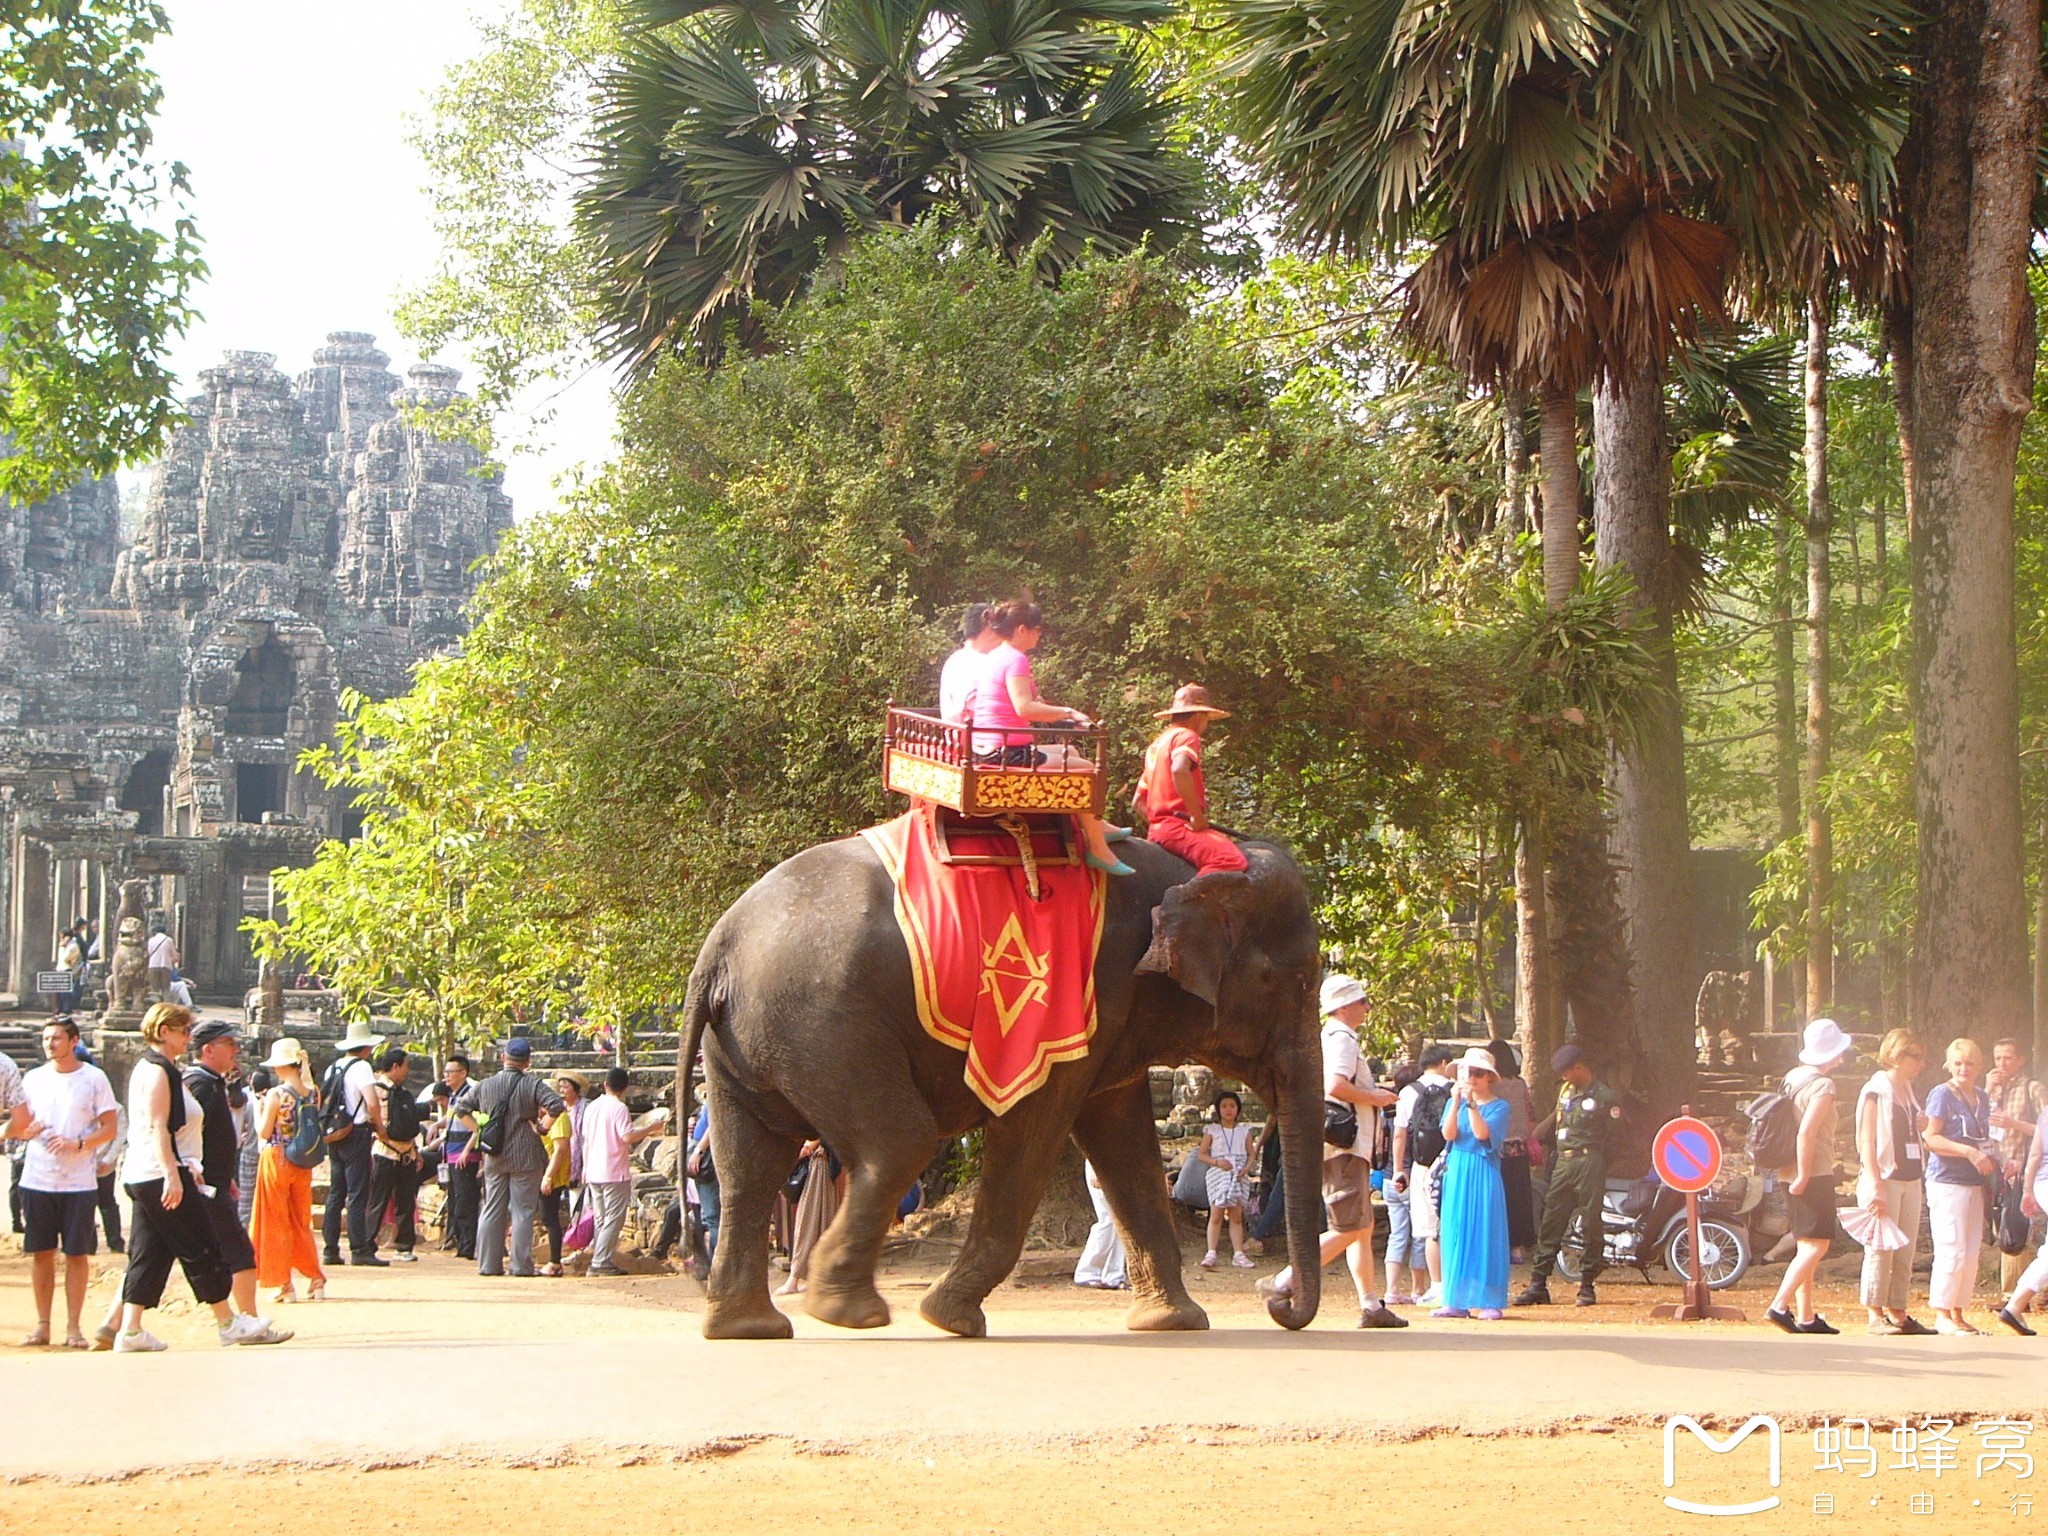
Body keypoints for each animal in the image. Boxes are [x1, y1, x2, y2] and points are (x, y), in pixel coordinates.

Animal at [679, 835, 1327, 1343]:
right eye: (1292, 982)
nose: (1276, 1301)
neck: (1187, 866)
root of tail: (719, 947)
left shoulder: (1114, 1019)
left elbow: (1126, 1147)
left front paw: (1174, 1323)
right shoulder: (1070, 1008)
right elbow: (1032, 1130)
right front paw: (949, 1319)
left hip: (752, 1041)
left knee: (748, 1164)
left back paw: (749, 1329)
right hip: (825, 1023)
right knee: (898, 1144)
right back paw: (847, 1311)